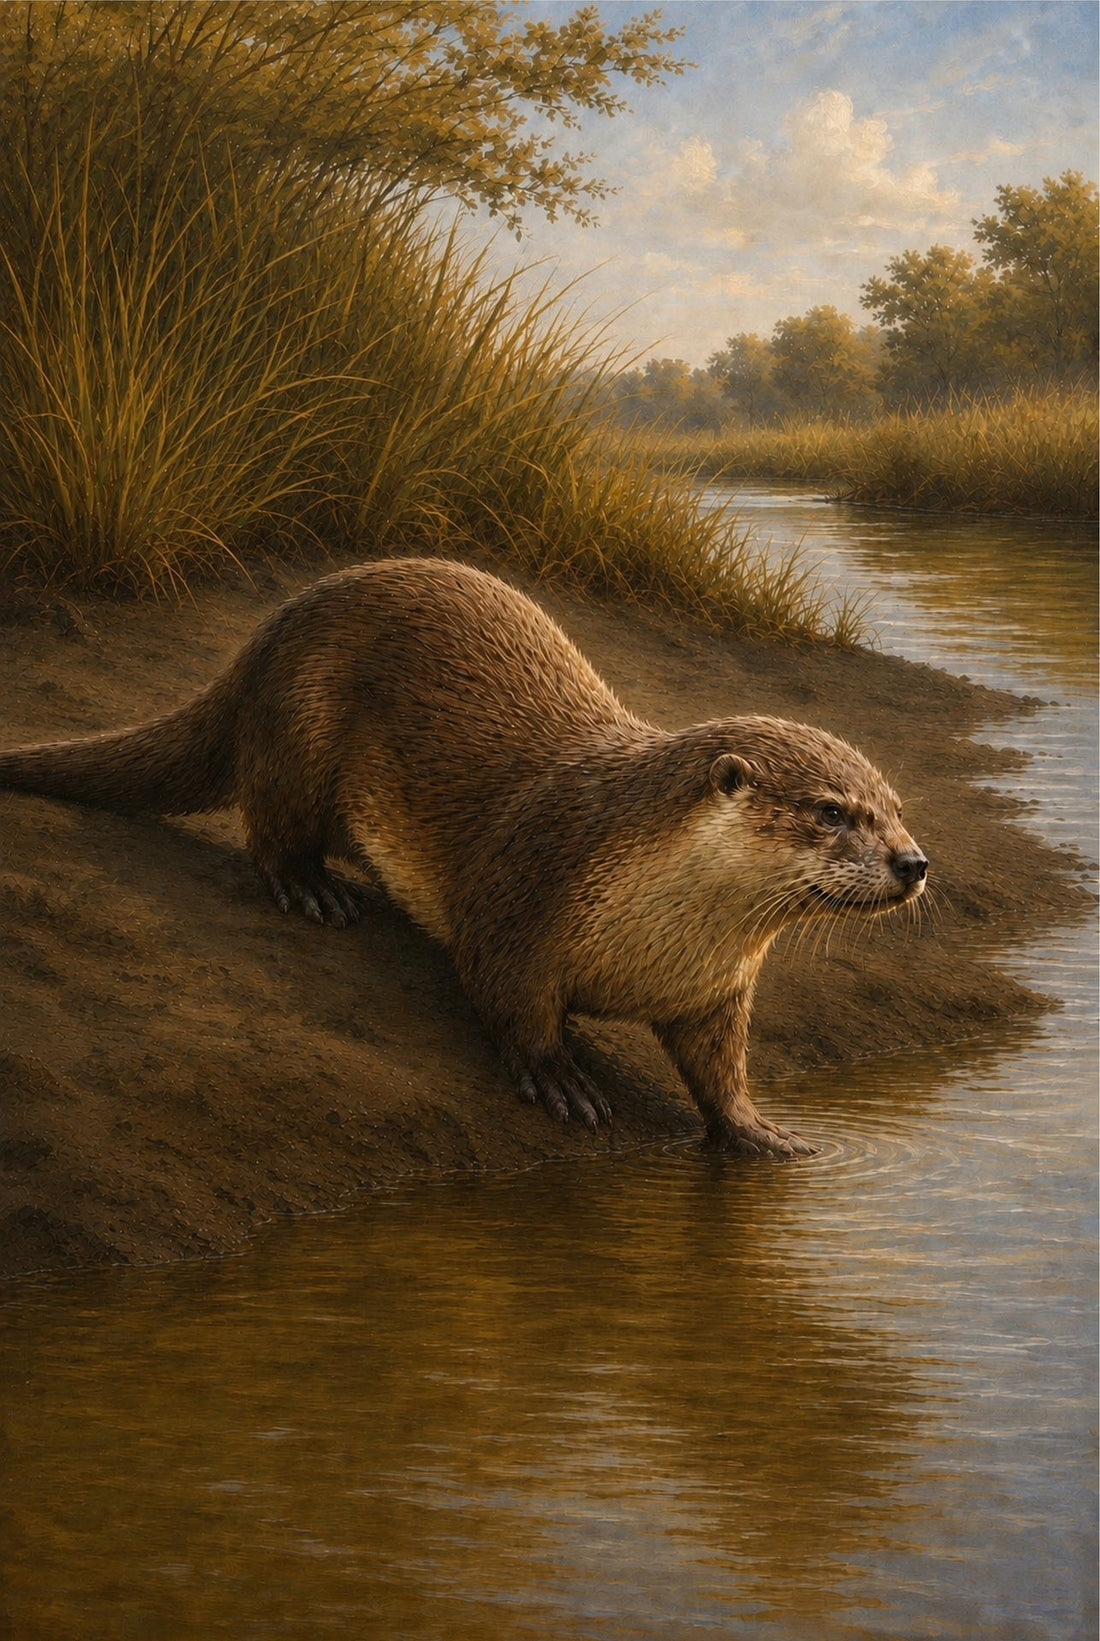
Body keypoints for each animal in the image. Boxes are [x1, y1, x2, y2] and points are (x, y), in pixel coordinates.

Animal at [0, 558, 927, 1156]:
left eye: (896, 809)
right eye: (832, 811)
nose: (914, 863)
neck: (658, 928)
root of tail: (263, 636)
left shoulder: (714, 990)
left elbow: (719, 1066)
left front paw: (758, 1130)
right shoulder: (526, 892)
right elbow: (506, 995)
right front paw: (560, 1078)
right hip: (299, 723)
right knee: (270, 826)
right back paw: (313, 891)